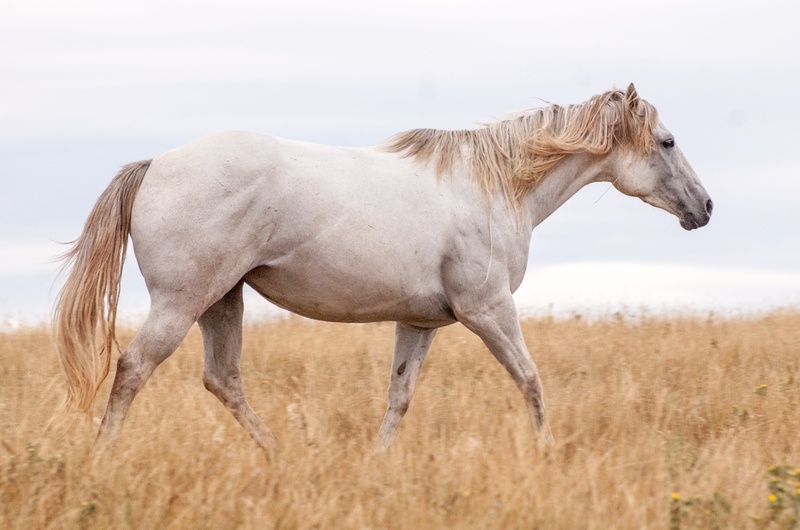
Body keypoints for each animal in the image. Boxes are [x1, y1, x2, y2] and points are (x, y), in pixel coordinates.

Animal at [53, 84, 712, 452]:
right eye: (668, 142)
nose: (705, 208)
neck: (496, 186)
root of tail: (156, 164)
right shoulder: (488, 310)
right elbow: (530, 380)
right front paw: (549, 454)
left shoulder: (419, 323)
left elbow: (399, 397)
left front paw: (379, 461)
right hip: (182, 302)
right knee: (134, 368)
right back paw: (103, 458)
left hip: (222, 300)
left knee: (224, 379)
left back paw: (283, 457)